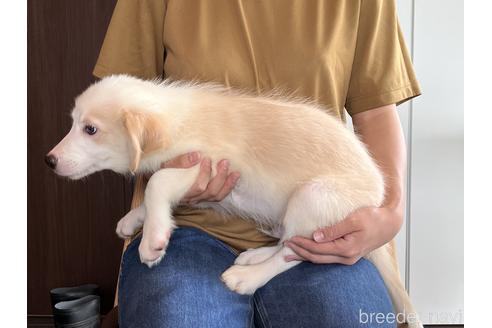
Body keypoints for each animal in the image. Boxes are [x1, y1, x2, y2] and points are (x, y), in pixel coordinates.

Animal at [47, 75, 422, 328]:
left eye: (90, 129)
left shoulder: (202, 163)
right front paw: (134, 218)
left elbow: (156, 182)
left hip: (313, 198)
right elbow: (155, 186)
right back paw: (253, 257)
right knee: (287, 243)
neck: (176, 118)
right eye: (74, 123)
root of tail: (375, 196)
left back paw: (248, 278)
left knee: (294, 253)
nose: (49, 161)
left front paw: (152, 239)